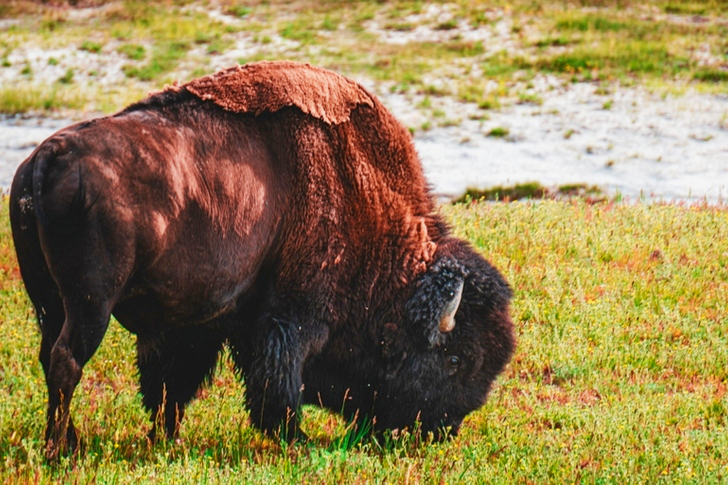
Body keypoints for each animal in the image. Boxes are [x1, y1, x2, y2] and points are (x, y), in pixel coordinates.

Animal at [9, 61, 514, 459]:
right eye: (455, 359)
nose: (443, 429)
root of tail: (48, 157)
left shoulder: (202, 322)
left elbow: (172, 382)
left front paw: (167, 438)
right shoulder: (293, 317)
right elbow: (277, 383)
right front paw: (298, 439)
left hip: (48, 301)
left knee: (49, 357)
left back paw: (70, 441)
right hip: (90, 304)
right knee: (66, 361)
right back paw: (60, 451)